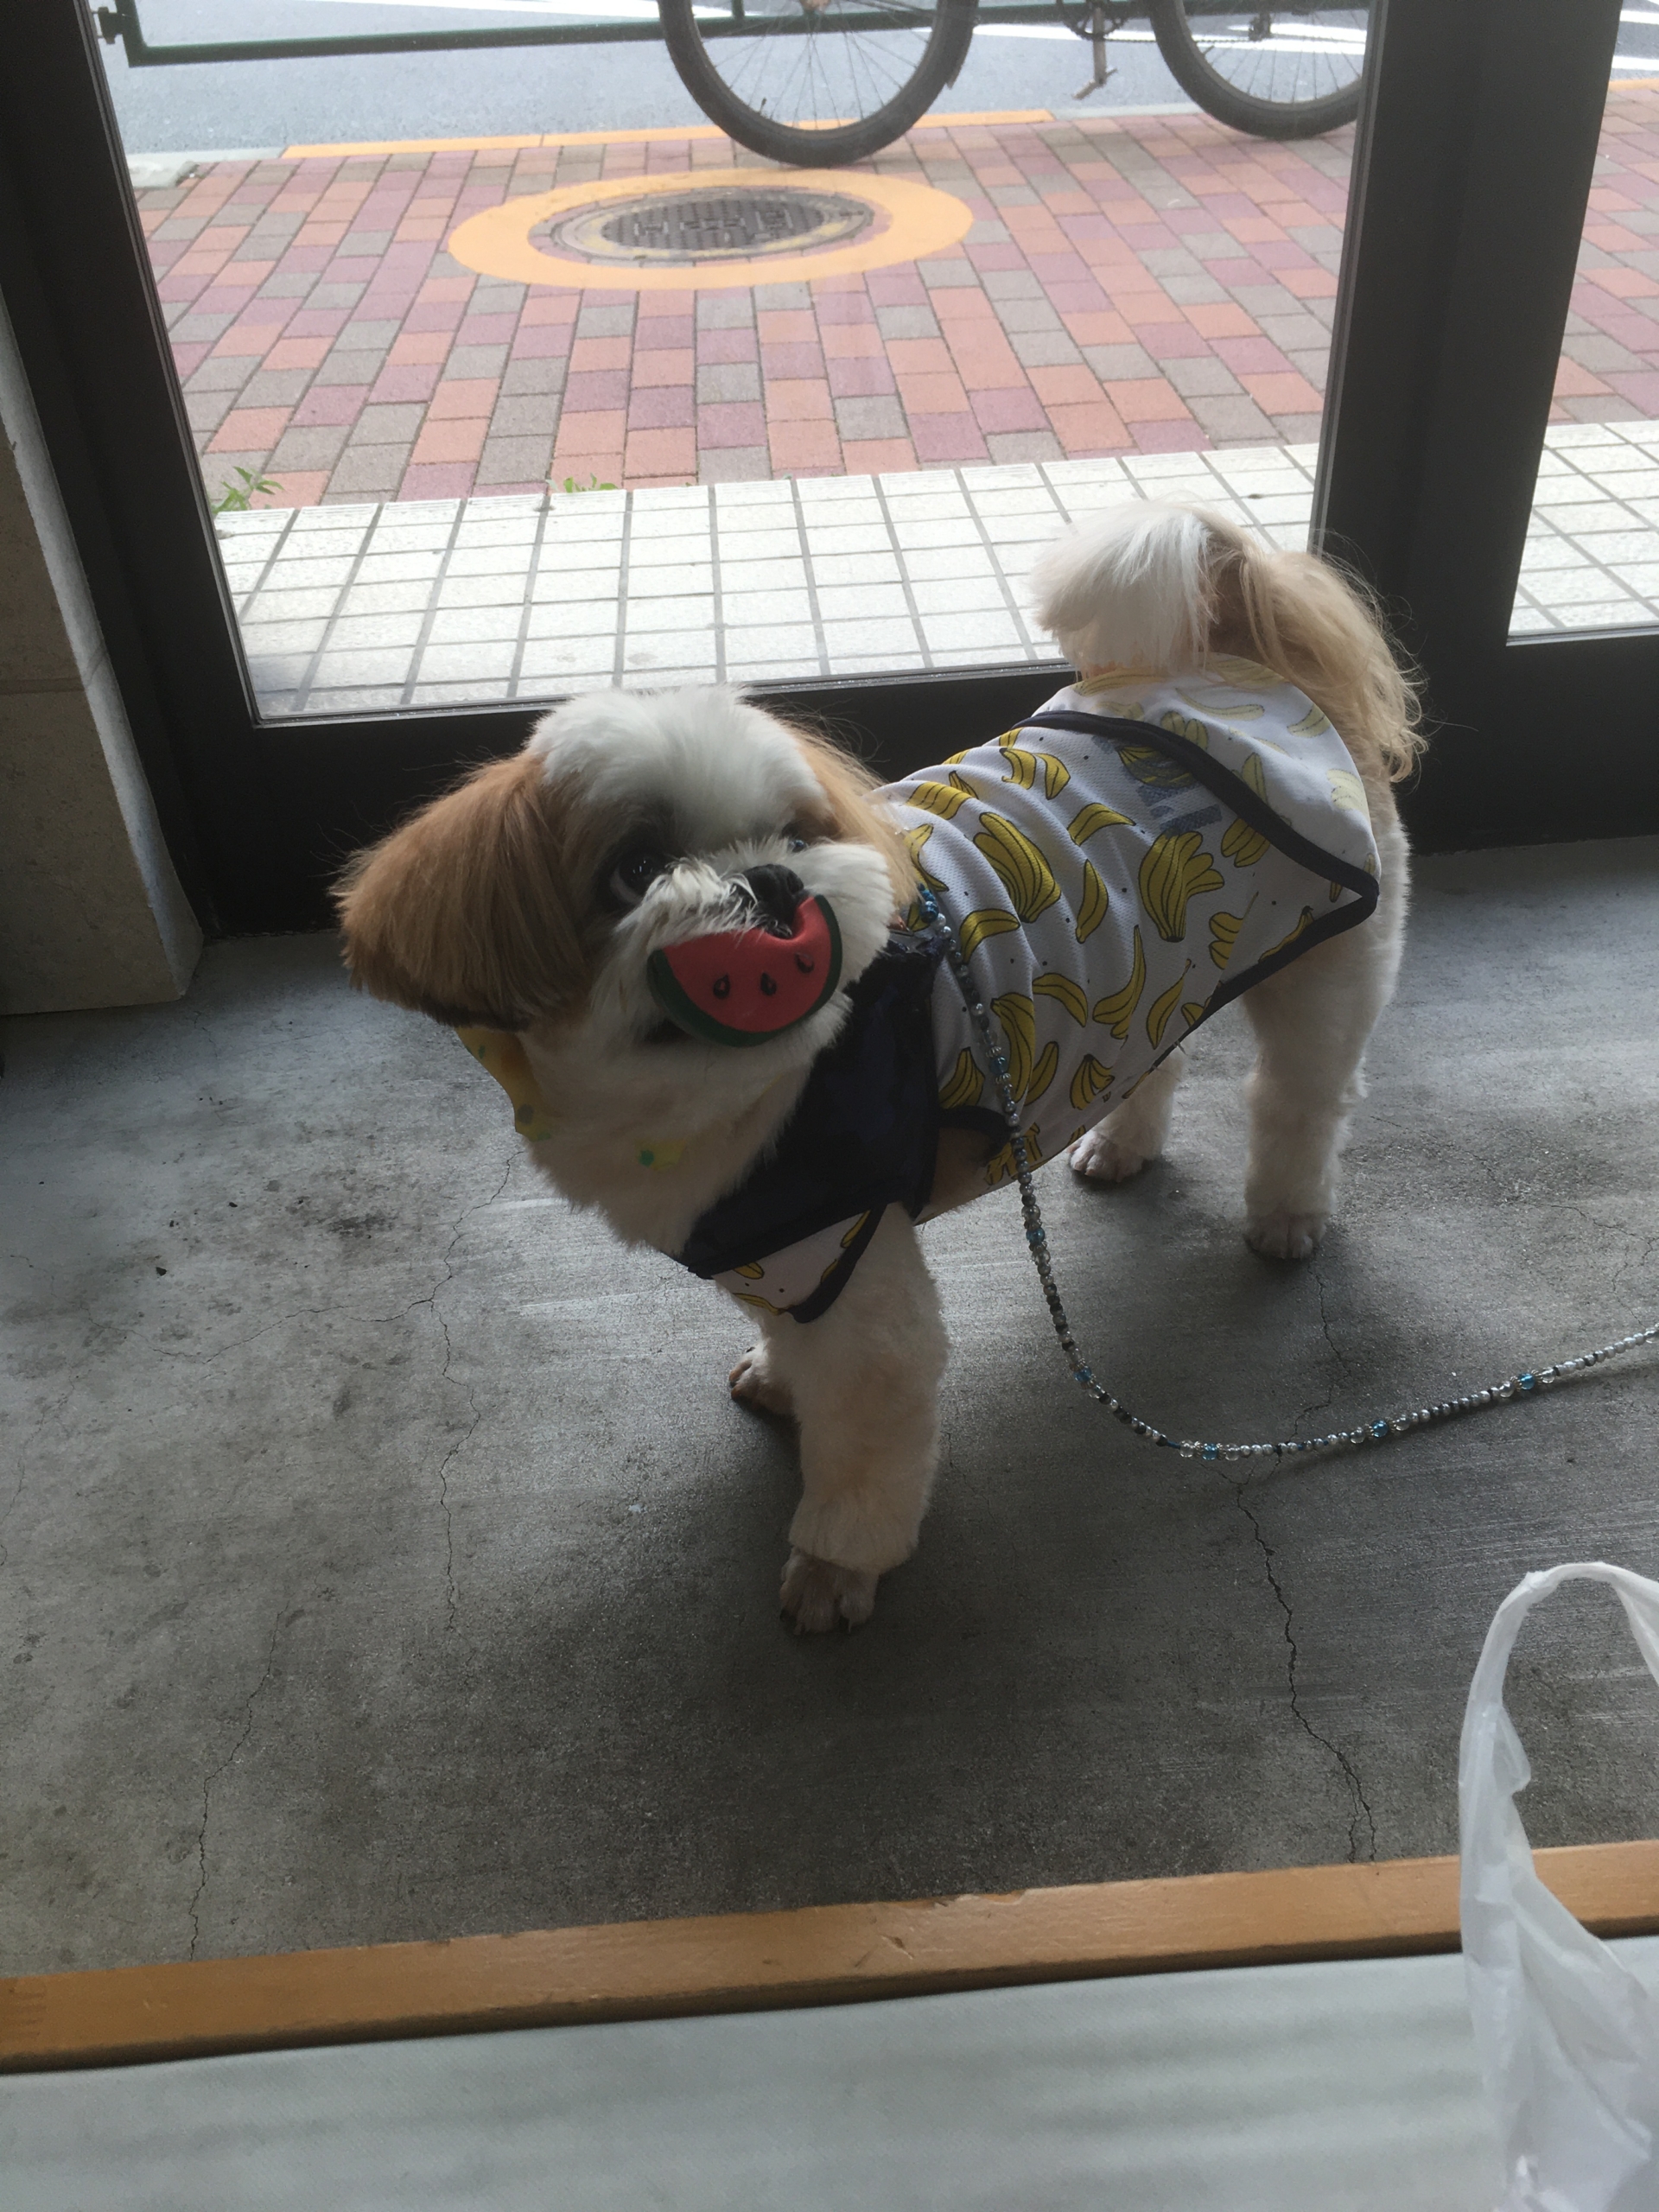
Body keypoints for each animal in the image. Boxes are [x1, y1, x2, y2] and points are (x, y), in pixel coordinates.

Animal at [337, 502, 1420, 1633]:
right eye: (635, 867)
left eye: (793, 834)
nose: (772, 883)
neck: (691, 1106)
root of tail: (1247, 664)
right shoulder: (783, 1246)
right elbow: (783, 1332)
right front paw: (779, 1376)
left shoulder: (855, 1264)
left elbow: (862, 1449)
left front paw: (836, 1565)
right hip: (1158, 972)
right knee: (1154, 1057)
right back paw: (1123, 1142)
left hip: (1327, 969)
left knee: (1302, 1099)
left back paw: (1288, 1211)